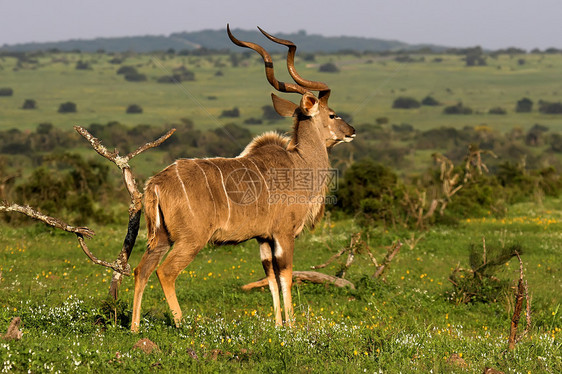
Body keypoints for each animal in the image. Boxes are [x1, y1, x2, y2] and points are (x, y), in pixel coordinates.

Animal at [129, 25, 352, 330]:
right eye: (332, 114)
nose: (351, 130)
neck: (300, 164)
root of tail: (155, 184)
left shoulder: (263, 238)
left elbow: (270, 277)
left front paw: (278, 325)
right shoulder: (283, 233)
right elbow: (286, 275)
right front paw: (292, 327)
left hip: (161, 238)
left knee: (141, 269)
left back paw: (134, 327)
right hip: (190, 241)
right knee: (166, 272)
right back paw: (182, 323)